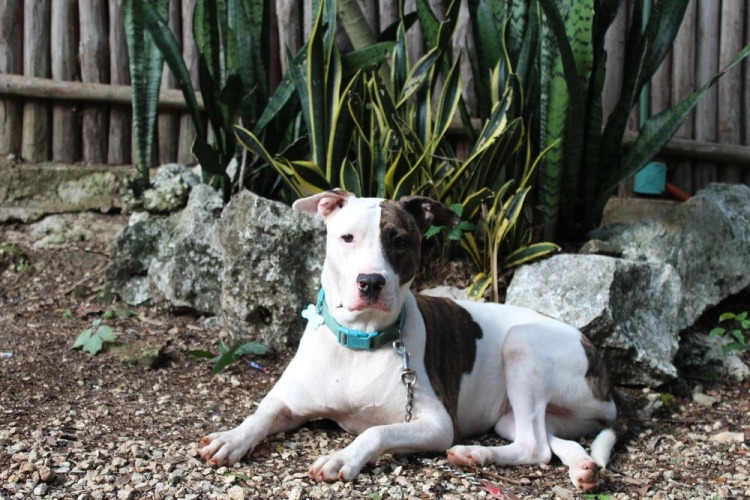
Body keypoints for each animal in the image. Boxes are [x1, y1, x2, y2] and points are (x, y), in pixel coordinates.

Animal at [199, 190, 617, 492]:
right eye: (347, 237)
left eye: (399, 241)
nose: (370, 281)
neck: (360, 339)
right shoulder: (290, 401)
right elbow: (262, 413)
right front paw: (230, 438)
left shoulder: (436, 423)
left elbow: (377, 430)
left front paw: (342, 458)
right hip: (512, 417)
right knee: (550, 441)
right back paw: (580, 467)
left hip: (522, 344)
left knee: (535, 446)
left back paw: (472, 452)